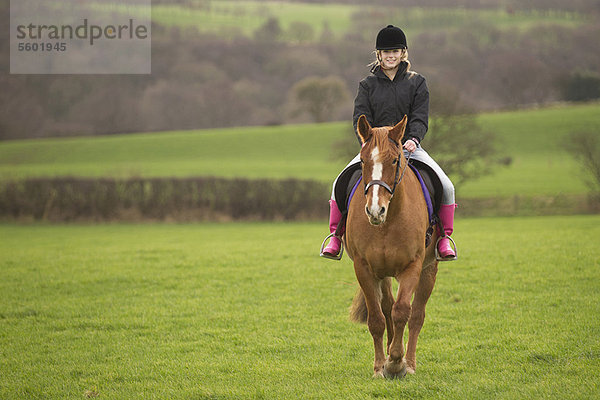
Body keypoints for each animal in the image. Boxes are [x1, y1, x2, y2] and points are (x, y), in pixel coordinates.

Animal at [344, 115, 438, 378]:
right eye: (363, 160)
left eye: (395, 160)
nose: (375, 210)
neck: (387, 222)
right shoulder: (364, 268)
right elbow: (377, 318)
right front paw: (380, 366)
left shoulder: (412, 266)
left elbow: (403, 311)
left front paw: (397, 362)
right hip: (382, 273)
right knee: (386, 307)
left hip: (429, 268)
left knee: (416, 315)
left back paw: (410, 362)